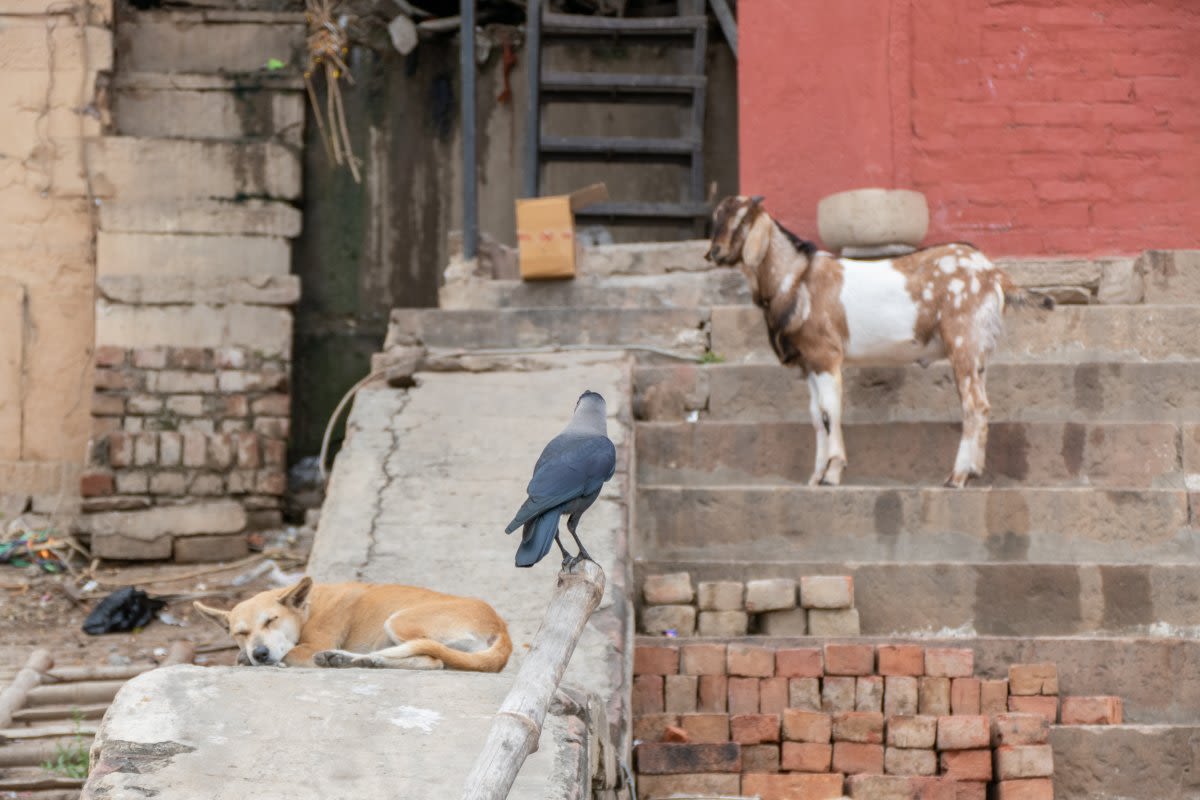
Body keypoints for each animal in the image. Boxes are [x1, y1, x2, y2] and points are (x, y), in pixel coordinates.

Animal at [195, 578, 511, 671]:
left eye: (271, 620)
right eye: (241, 632)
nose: (259, 654)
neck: (307, 609)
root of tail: (501, 626)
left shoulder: (311, 644)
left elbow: (289, 653)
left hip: (398, 620)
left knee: (433, 660)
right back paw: (354, 660)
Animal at [705, 195, 1056, 489]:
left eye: (741, 221)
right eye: (717, 217)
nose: (714, 253)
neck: (797, 278)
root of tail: (996, 275)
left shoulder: (825, 356)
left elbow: (831, 411)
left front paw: (832, 474)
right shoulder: (809, 364)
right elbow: (817, 416)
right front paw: (815, 477)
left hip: (963, 343)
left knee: (975, 405)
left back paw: (956, 477)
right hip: (979, 352)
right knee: (981, 405)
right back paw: (972, 471)